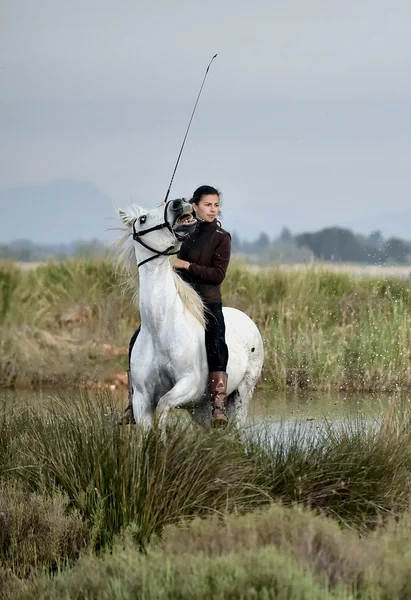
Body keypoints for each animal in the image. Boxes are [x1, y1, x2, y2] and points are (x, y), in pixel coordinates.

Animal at [116, 199, 264, 428]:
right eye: (142, 219)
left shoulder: (189, 384)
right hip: (200, 409)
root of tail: (247, 319)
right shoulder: (141, 397)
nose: (178, 203)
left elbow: (164, 404)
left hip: (243, 392)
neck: (161, 327)